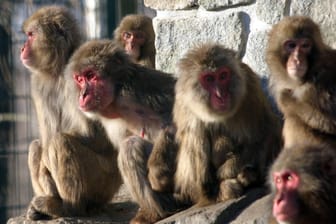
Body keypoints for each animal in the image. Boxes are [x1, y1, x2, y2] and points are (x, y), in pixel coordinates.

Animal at [20, 5, 121, 220]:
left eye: (31, 35)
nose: (22, 48)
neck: (58, 69)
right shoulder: (39, 84)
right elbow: (46, 139)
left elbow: (96, 135)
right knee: (37, 146)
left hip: (104, 180)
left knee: (60, 142)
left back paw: (68, 208)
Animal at [266, 16, 336, 149]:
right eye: (291, 45)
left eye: (305, 45)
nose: (297, 59)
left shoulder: (320, 81)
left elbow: (332, 123)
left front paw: (286, 98)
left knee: (294, 121)